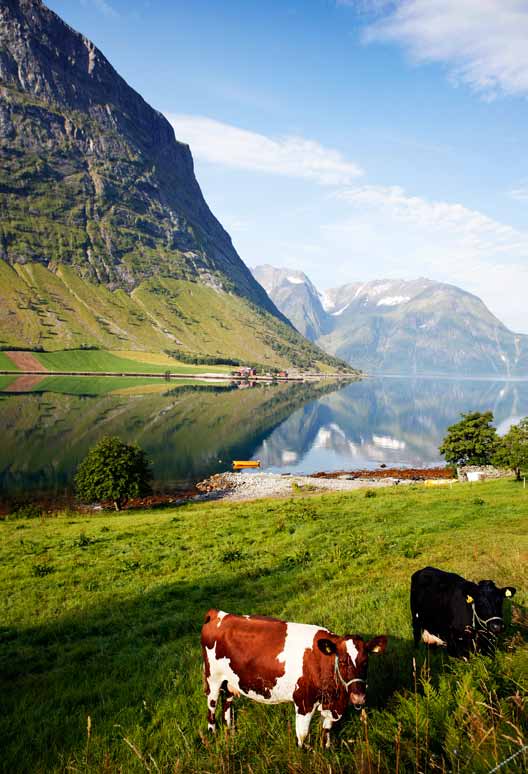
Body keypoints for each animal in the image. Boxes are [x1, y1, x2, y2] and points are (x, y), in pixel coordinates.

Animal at [200, 608, 386, 748]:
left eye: (366, 661)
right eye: (342, 661)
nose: (358, 697)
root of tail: (218, 613)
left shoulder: (330, 705)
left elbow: (326, 730)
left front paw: (326, 749)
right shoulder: (303, 702)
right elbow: (302, 736)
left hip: (229, 682)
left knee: (227, 706)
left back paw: (231, 732)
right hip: (212, 679)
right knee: (211, 708)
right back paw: (212, 735)